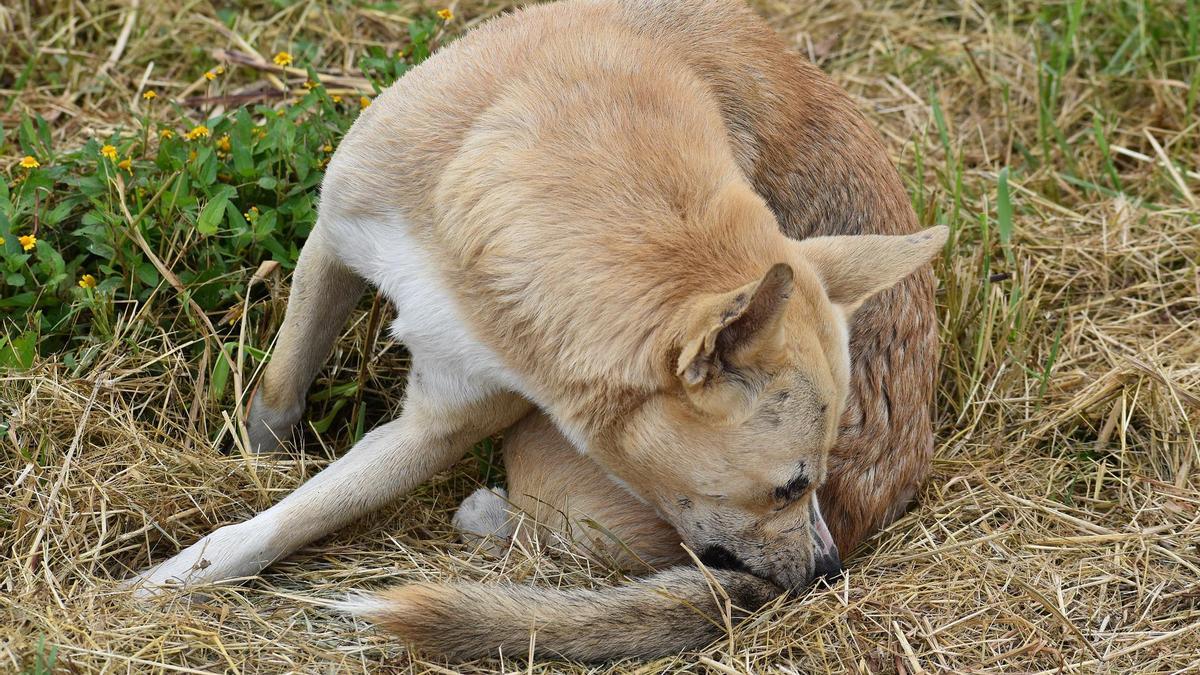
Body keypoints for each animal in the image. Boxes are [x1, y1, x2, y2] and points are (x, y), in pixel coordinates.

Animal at [124, 0, 945, 658]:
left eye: (810, 481)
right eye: (790, 486)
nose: (827, 574)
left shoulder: (440, 425)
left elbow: (296, 516)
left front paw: (175, 578)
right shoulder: (334, 241)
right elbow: (279, 390)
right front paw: (251, 467)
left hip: (540, 458)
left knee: (551, 536)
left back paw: (489, 515)